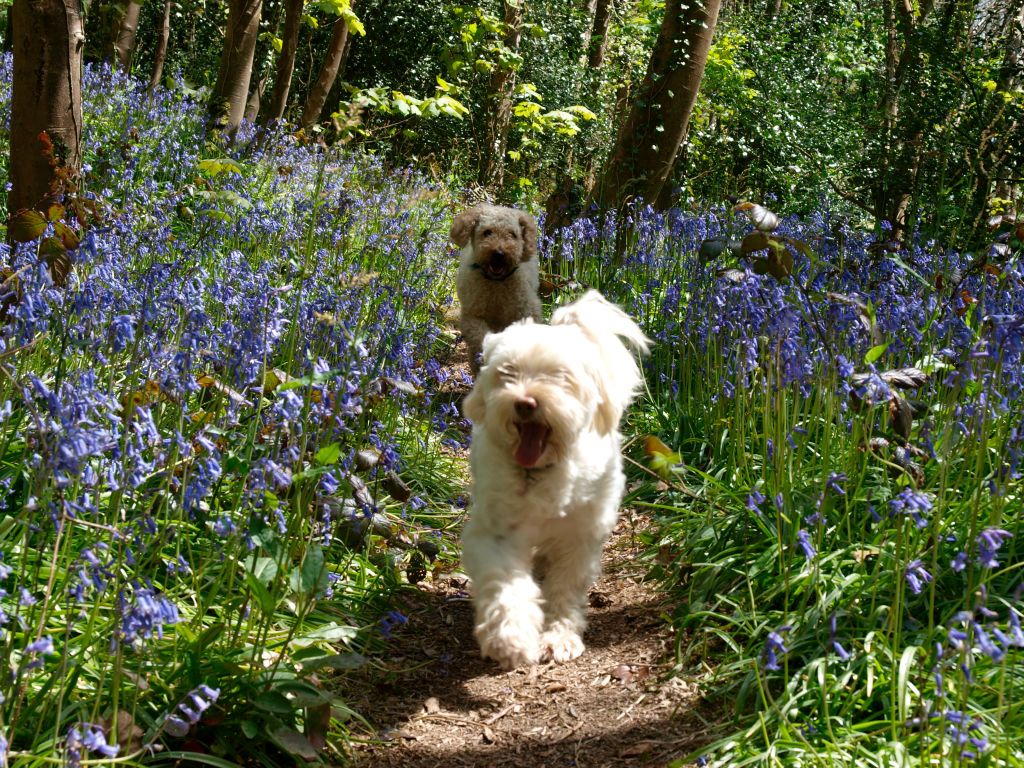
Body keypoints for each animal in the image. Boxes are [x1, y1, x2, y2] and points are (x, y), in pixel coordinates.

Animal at [450, 202, 544, 374]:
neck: (496, 284)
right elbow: (480, 337)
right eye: (487, 232)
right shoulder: (472, 316)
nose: (499, 253)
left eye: (512, 234)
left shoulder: (526, 310)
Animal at [462, 290, 647, 671]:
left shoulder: (578, 538)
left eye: (559, 376)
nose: (525, 403)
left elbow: (565, 588)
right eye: (508, 373)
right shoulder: (495, 535)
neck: (538, 473)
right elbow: (507, 585)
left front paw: (559, 636)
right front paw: (509, 639)